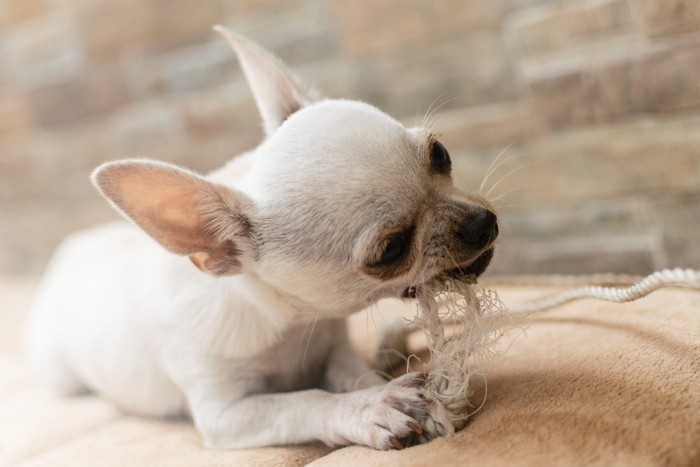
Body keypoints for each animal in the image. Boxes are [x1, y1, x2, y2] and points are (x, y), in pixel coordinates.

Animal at [28, 27, 498, 452]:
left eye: (440, 154)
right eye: (392, 250)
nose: (485, 224)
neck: (291, 326)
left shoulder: (335, 349)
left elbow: (351, 373)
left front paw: (392, 394)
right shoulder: (226, 414)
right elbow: (304, 400)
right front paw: (371, 408)